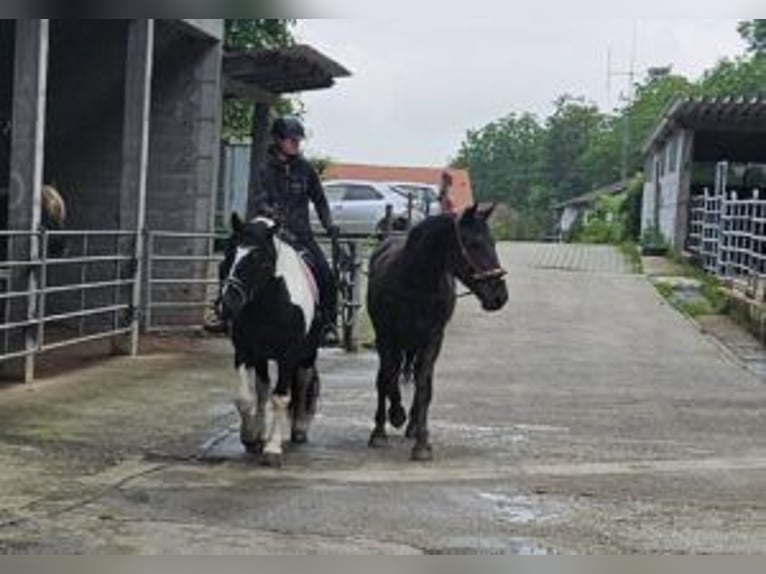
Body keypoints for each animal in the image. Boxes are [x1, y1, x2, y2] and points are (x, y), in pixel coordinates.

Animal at [220, 214, 322, 470]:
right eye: (229, 252)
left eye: (257, 257)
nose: (229, 302)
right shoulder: (245, 351)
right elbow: (246, 398)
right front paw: (250, 437)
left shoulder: (288, 355)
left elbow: (281, 398)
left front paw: (273, 449)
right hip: (262, 357)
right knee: (263, 389)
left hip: (307, 354)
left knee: (303, 382)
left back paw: (299, 428)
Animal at [368, 207, 510, 464]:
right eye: (473, 244)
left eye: (493, 242)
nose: (499, 296)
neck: (415, 287)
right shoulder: (385, 338)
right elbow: (387, 377)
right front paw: (385, 426)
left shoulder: (432, 340)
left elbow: (424, 386)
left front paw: (422, 443)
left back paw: (413, 426)